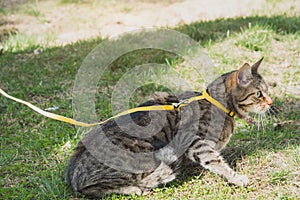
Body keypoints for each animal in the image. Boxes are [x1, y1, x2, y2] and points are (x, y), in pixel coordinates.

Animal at [65, 57, 272, 197]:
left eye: (268, 91)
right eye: (259, 94)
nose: (271, 103)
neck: (220, 104)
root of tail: (71, 177)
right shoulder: (192, 140)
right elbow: (214, 160)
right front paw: (235, 177)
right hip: (142, 151)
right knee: (93, 188)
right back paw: (132, 189)